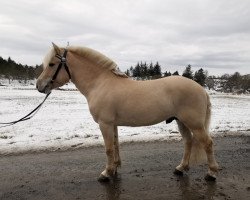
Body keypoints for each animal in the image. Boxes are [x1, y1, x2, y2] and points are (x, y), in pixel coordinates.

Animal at [36, 43, 219, 182]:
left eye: (51, 64)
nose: (39, 86)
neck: (99, 83)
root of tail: (202, 90)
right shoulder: (113, 124)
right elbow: (116, 146)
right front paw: (115, 168)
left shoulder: (105, 124)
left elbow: (108, 148)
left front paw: (106, 173)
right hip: (181, 122)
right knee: (188, 142)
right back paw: (181, 168)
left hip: (194, 124)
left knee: (207, 143)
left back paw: (211, 173)